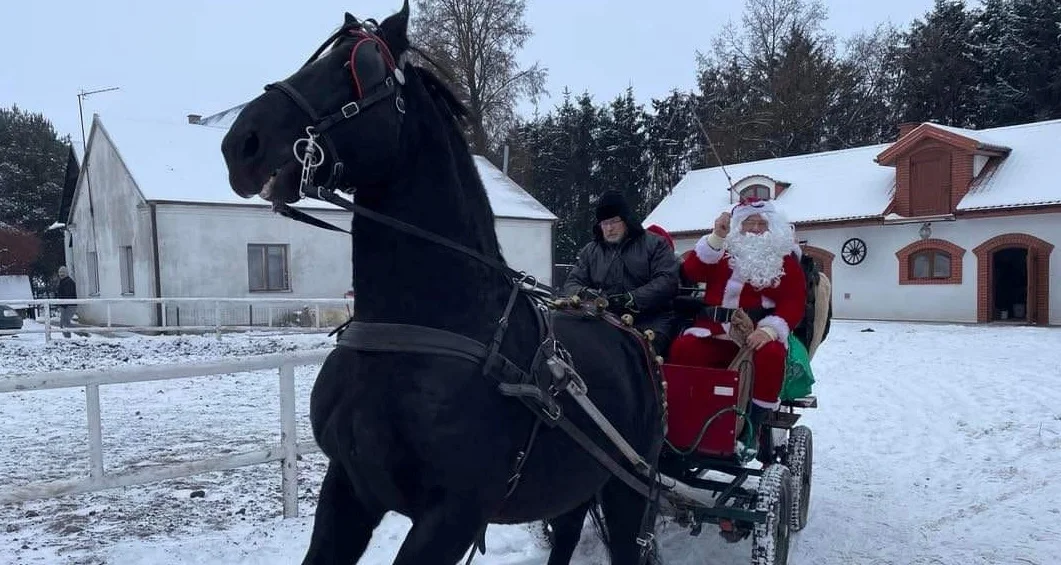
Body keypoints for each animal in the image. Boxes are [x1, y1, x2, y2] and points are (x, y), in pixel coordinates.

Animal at [220, 2, 666, 559]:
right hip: (575, 484)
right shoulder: (348, 485)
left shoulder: (453, 516)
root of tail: (628, 329)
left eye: (357, 67)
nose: (242, 143)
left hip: (628, 489)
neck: (422, 329)